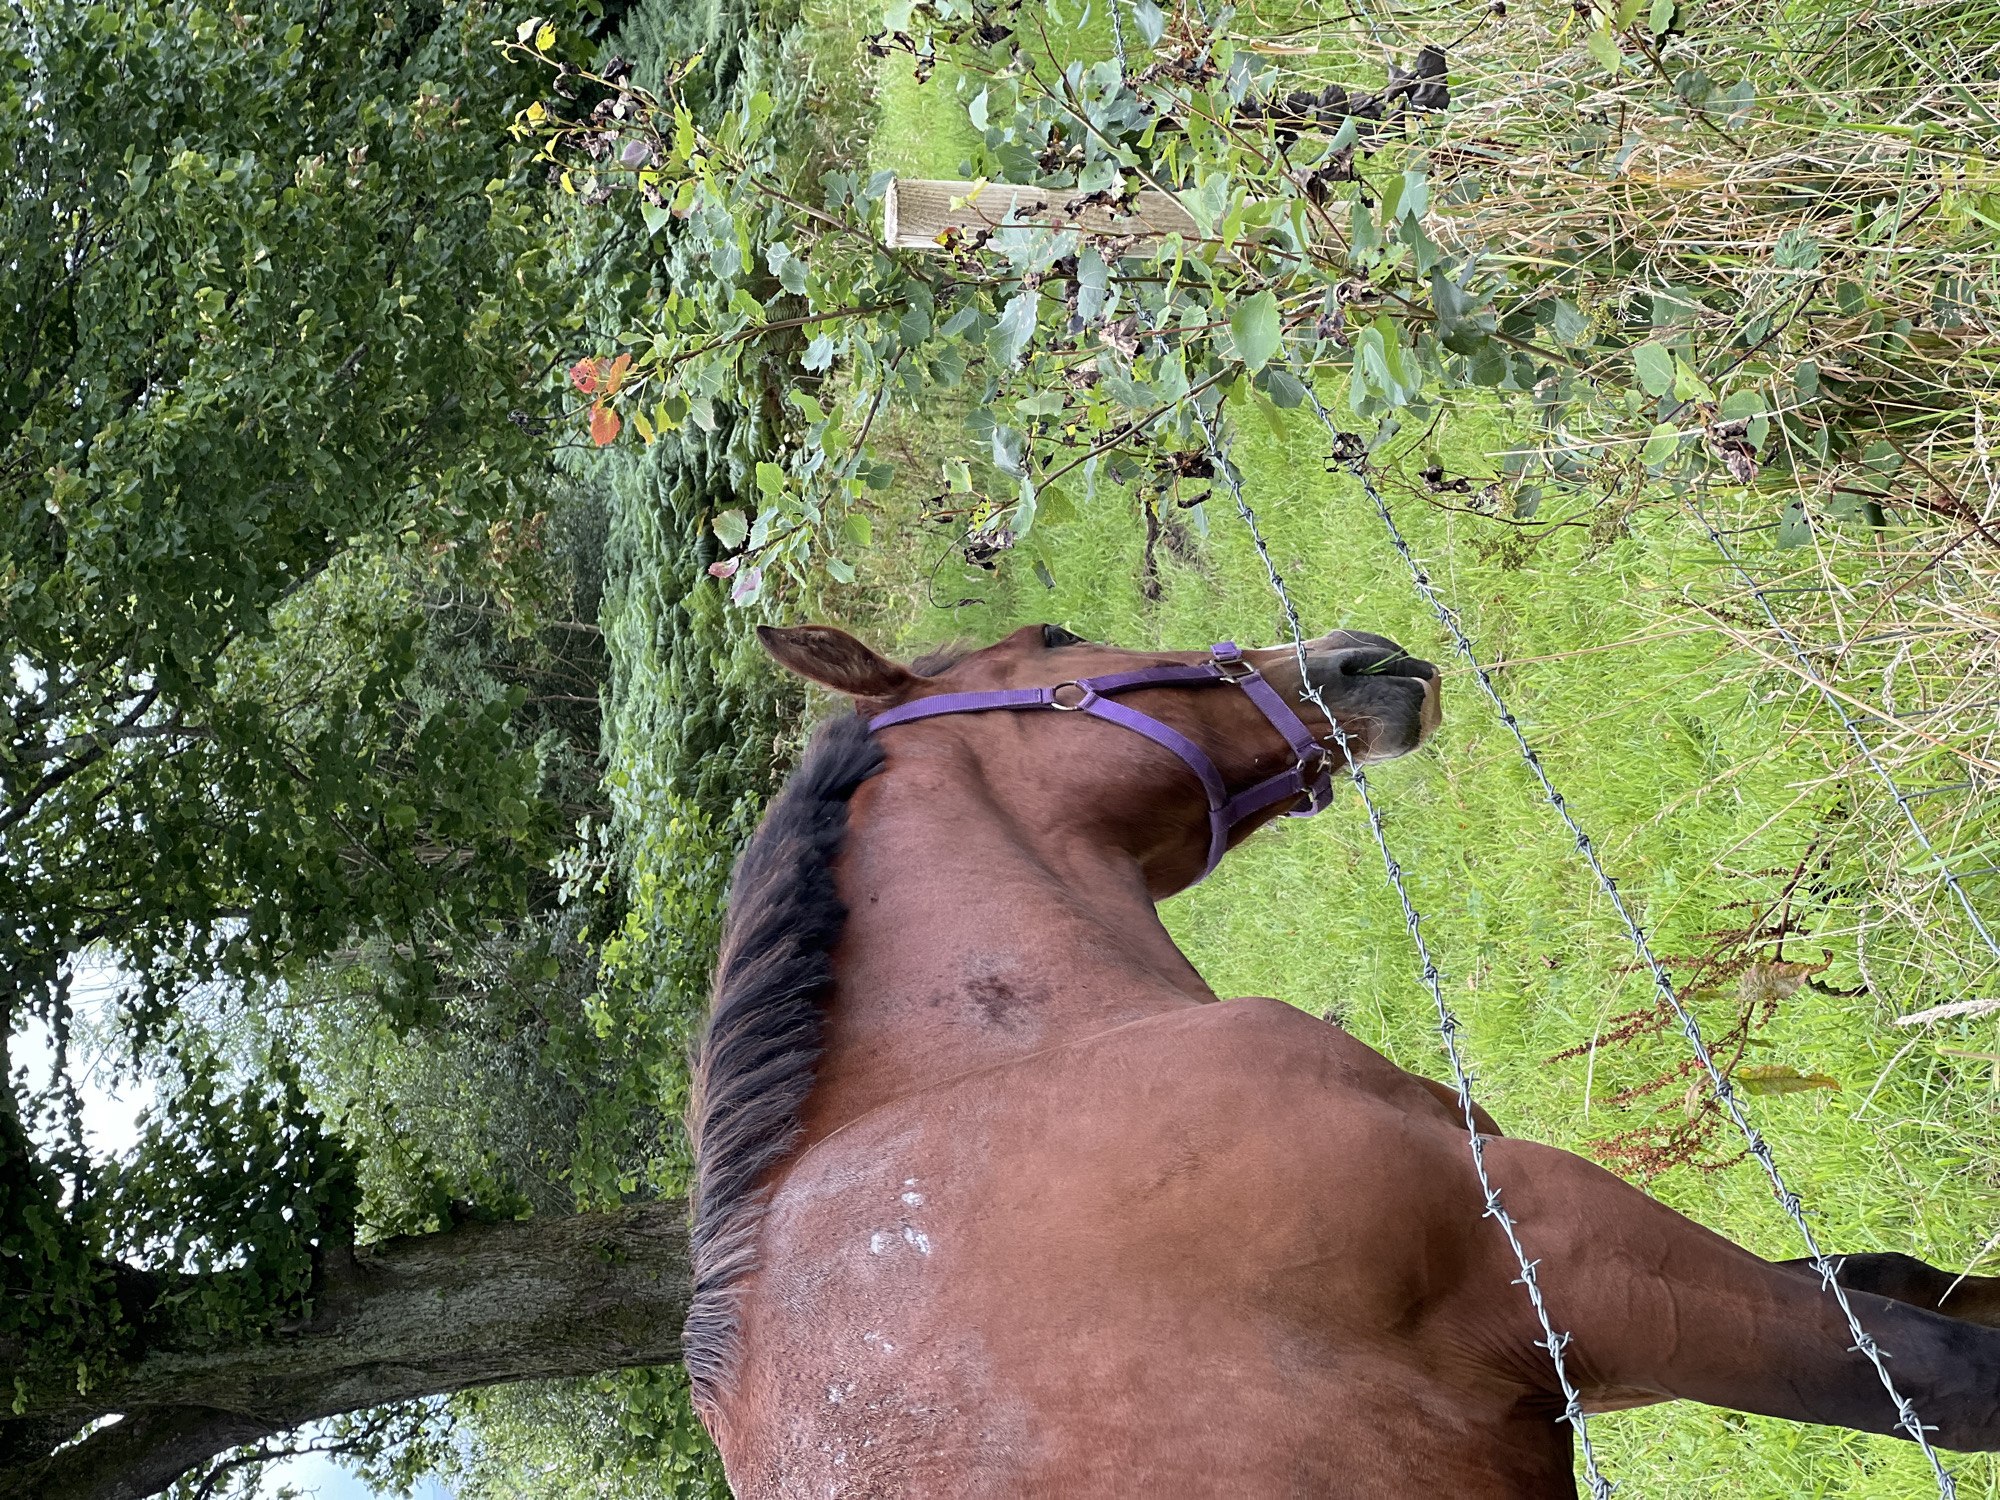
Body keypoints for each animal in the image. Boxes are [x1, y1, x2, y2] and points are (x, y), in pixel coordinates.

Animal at [686, 620, 2000, 1496]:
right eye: (1050, 637)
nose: (1360, 653)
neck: (1001, 1066)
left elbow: (1896, 1283)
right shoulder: (1551, 1253)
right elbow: (1936, 1373)